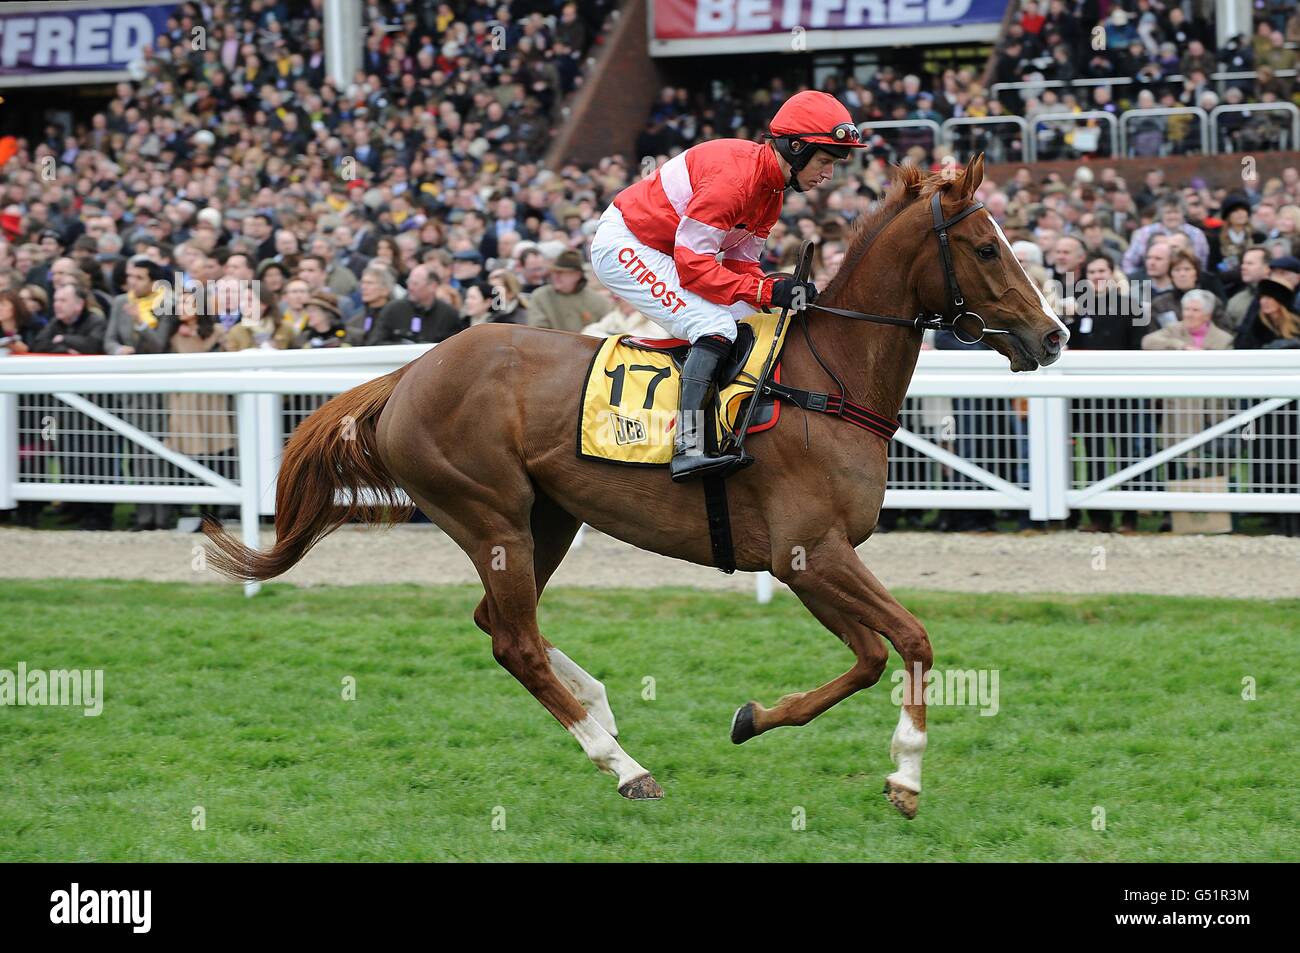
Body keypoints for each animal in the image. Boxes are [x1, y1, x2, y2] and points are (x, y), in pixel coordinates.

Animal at [205, 156, 1066, 816]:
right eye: (986, 248)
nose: (1053, 335)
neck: (827, 382)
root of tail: (410, 372)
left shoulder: (811, 560)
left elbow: (869, 657)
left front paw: (754, 717)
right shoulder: (808, 552)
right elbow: (908, 641)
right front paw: (905, 775)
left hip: (544, 519)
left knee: (499, 620)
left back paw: (602, 708)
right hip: (490, 515)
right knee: (514, 639)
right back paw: (623, 765)